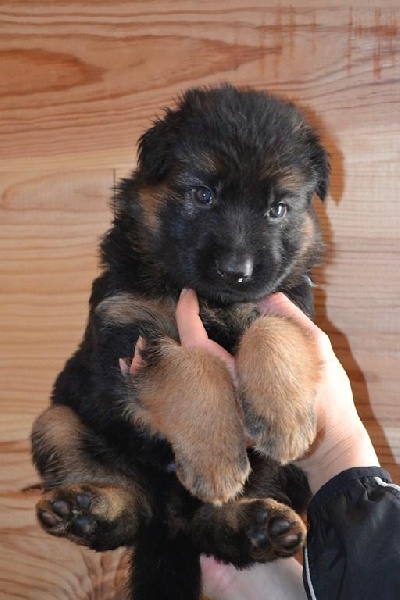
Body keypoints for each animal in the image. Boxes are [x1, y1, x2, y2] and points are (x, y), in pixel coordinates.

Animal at [31, 84, 328, 600]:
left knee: (211, 528)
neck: (211, 300)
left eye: (277, 209)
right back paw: (89, 512)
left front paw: (285, 418)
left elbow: (271, 327)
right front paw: (214, 459)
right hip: (57, 422)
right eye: (203, 194)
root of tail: (172, 522)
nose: (236, 271)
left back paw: (255, 526)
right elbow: (187, 368)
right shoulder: (127, 333)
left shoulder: (290, 303)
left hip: (289, 474)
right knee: (133, 507)